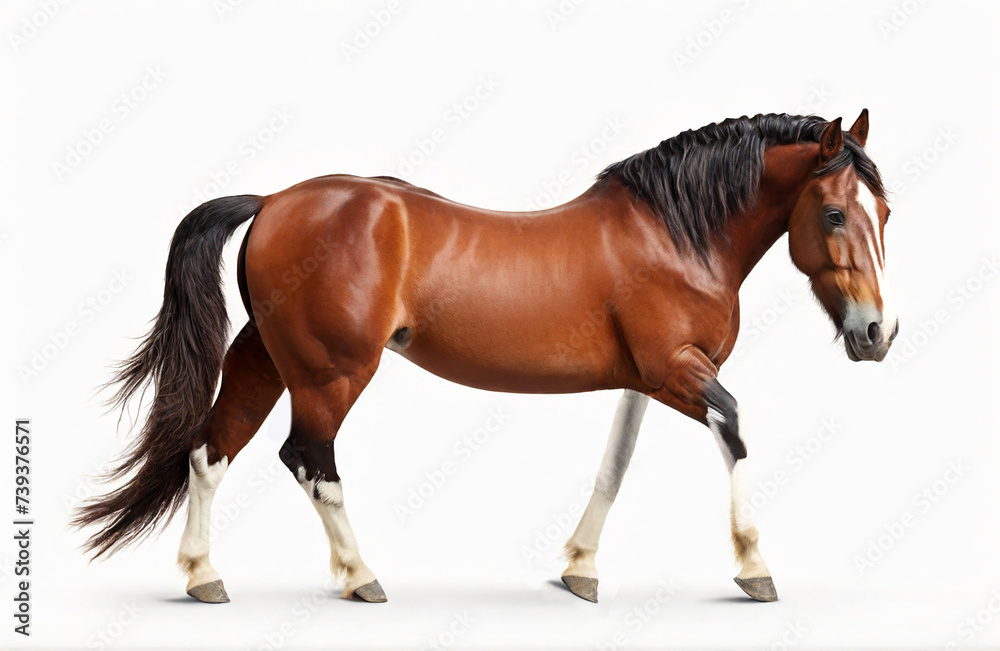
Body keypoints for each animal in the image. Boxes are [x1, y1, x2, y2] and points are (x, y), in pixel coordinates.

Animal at [73, 111, 896, 605]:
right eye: (833, 213)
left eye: (884, 211)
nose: (876, 334)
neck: (674, 232)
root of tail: (274, 199)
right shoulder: (677, 370)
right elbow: (735, 427)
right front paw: (755, 567)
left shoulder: (646, 379)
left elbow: (615, 466)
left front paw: (579, 568)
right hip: (331, 373)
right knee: (307, 459)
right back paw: (362, 577)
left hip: (268, 360)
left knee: (211, 451)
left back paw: (203, 575)